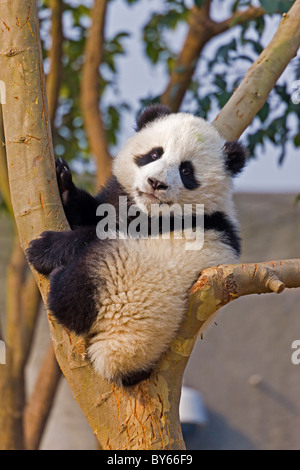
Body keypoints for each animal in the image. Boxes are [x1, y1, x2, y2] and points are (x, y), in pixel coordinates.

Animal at [27, 105, 246, 386]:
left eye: (186, 170)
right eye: (154, 154)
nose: (156, 183)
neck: (147, 208)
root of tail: (118, 365)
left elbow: (97, 232)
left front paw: (44, 248)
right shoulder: (119, 196)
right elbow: (97, 211)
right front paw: (64, 185)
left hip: (125, 289)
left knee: (86, 280)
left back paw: (59, 285)